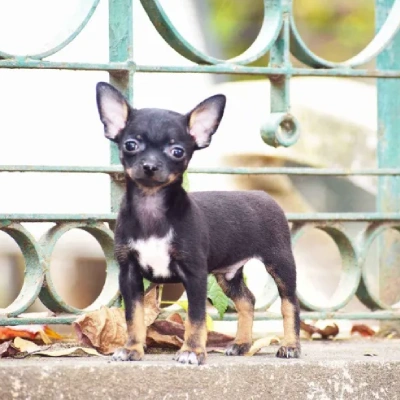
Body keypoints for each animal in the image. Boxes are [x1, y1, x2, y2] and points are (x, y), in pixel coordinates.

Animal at [94, 82, 300, 366]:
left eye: (177, 151)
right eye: (130, 145)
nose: (150, 166)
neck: (152, 207)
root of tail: (263, 195)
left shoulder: (195, 275)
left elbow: (196, 317)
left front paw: (192, 351)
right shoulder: (129, 274)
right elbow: (133, 316)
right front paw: (131, 349)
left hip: (280, 264)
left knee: (289, 304)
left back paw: (290, 346)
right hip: (227, 274)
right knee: (247, 300)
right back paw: (241, 344)